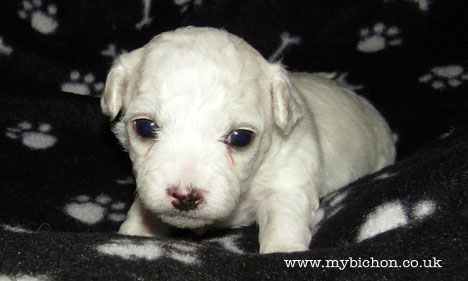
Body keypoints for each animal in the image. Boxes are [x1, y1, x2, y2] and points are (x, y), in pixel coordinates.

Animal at [101, 26, 394, 254]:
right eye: (145, 127)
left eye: (240, 138)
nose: (185, 196)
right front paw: (135, 233)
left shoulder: (289, 177)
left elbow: (285, 220)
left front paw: (282, 251)